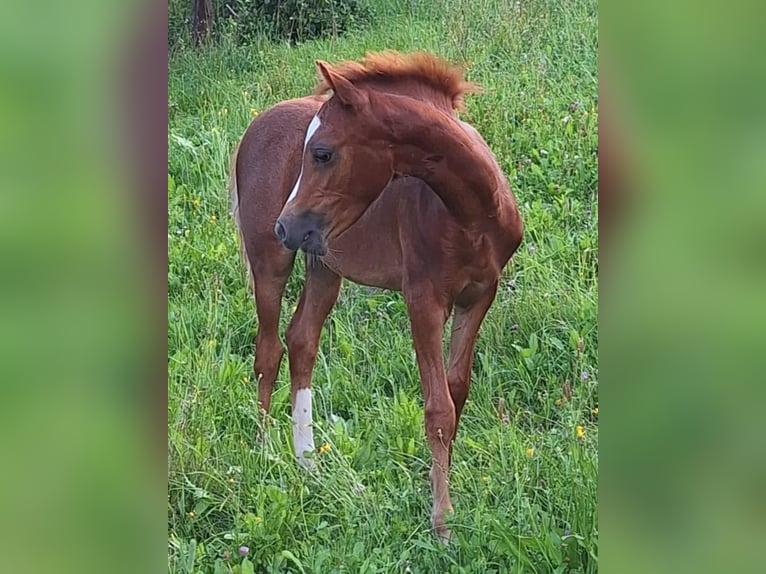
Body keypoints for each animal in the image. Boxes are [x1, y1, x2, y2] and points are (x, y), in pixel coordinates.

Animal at [231, 53, 524, 540]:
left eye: (323, 153)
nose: (285, 225)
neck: (472, 212)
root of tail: (256, 124)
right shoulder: (422, 299)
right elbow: (438, 408)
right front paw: (442, 522)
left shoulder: (479, 296)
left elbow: (457, 392)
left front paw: (441, 492)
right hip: (271, 261)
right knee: (268, 349)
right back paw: (263, 451)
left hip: (323, 264)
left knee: (301, 340)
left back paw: (308, 463)